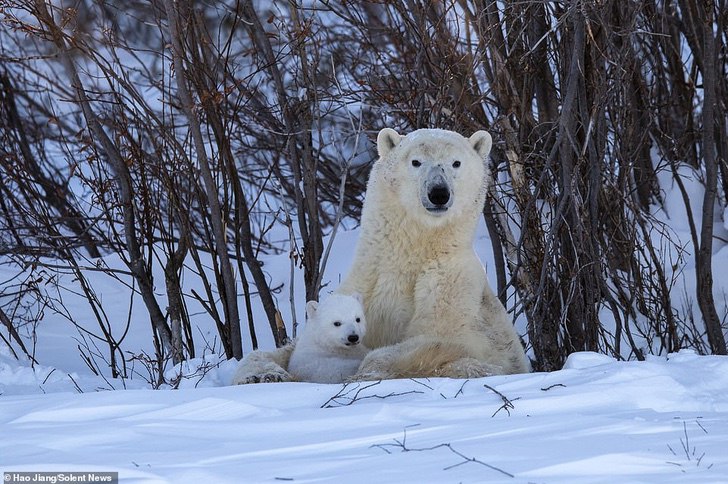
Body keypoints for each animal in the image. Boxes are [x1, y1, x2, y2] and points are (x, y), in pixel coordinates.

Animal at [233, 126, 528, 384]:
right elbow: (283, 348)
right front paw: (263, 374)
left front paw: (366, 371)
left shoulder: (452, 287)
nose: (438, 193)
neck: (409, 254)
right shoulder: (369, 282)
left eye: (456, 163)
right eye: (416, 162)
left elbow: (440, 337)